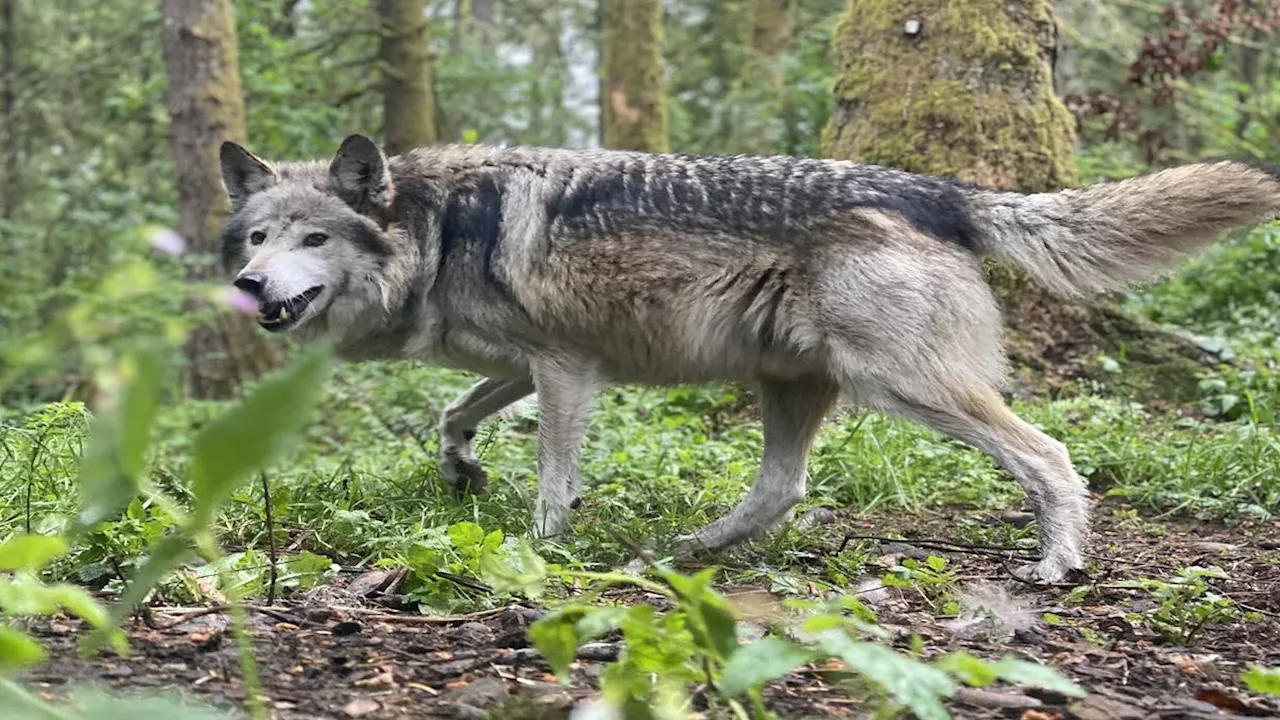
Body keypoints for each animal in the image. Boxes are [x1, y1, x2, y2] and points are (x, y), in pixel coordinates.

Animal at [220, 134, 1280, 579]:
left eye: (312, 240)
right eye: (256, 238)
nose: (250, 287)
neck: (440, 229)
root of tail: (942, 190)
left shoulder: (564, 368)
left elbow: (553, 484)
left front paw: (539, 555)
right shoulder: (528, 366)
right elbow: (453, 416)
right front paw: (462, 474)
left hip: (901, 387)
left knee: (1051, 455)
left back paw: (1057, 563)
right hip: (793, 385)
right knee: (782, 491)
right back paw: (686, 553)